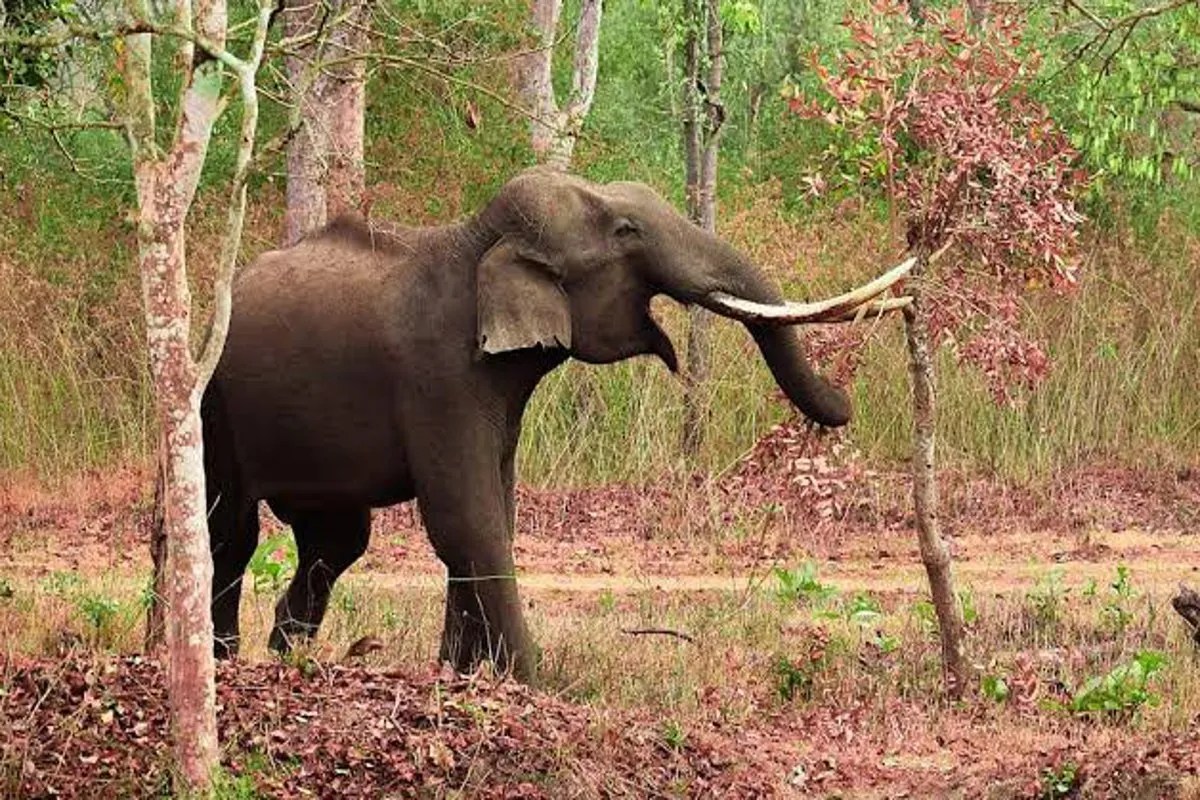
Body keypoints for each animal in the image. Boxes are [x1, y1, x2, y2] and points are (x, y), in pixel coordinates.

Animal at [203, 168, 911, 682]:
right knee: (230, 531)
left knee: (336, 538)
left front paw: (461, 677)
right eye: (626, 230)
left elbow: (495, 510)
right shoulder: (435, 377)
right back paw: (225, 660)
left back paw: (285, 655)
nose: (846, 403)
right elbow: (466, 517)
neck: (473, 242)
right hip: (214, 407)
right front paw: (531, 684)